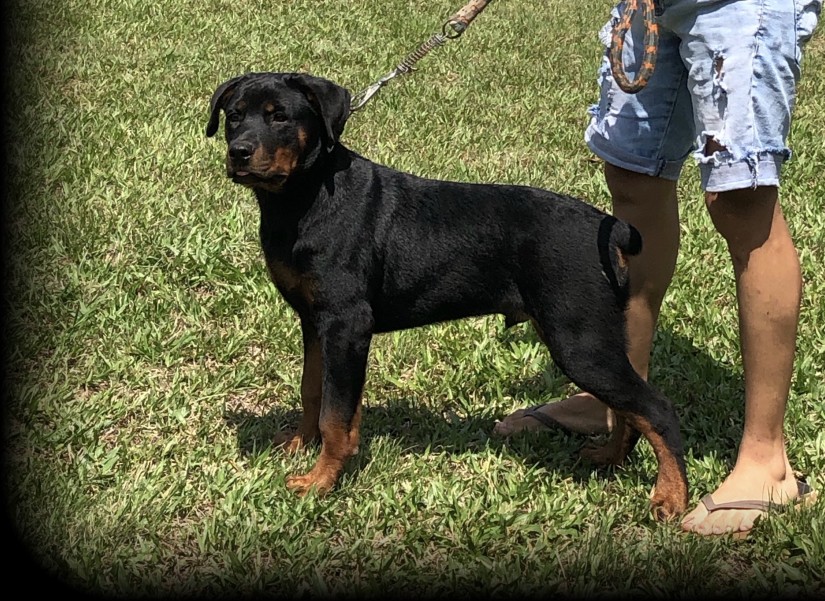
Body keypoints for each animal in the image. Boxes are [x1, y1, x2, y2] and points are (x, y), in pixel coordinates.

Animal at [206, 71, 688, 520]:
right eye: (234, 116)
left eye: (280, 117)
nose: (239, 152)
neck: (306, 196)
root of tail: (608, 228)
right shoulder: (314, 320)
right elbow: (313, 390)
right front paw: (300, 444)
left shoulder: (346, 325)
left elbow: (335, 414)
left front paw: (320, 482)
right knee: (630, 408)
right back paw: (610, 458)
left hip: (579, 340)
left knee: (658, 408)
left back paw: (670, 497)